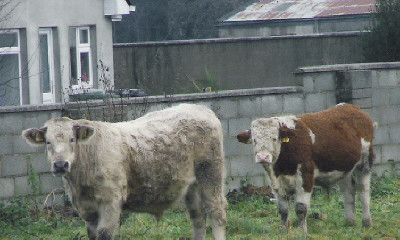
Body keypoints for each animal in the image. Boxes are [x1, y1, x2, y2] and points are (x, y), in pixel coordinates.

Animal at [23, 104, 227, 240]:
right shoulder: (86, 209)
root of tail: (200, 108)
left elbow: (104, 234)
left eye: (72, 139)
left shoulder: (110, 202)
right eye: (48, 142)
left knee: (216, 213)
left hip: (210, 175)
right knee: (198, 217)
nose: (60, 165)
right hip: (192, 185)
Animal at [238, 103, 376, 234]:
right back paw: (350, 223)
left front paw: (302, 232)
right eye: (254, 140)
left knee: (363, 191)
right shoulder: (277, 185)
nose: (263, 157)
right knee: (348, 191)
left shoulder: (305, 176)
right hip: (344, 167)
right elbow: (283, 211)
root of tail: (352, 107)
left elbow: (301, 208)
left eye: (274, 138)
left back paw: (367, 222)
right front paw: (284, 232)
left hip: (365, 162)